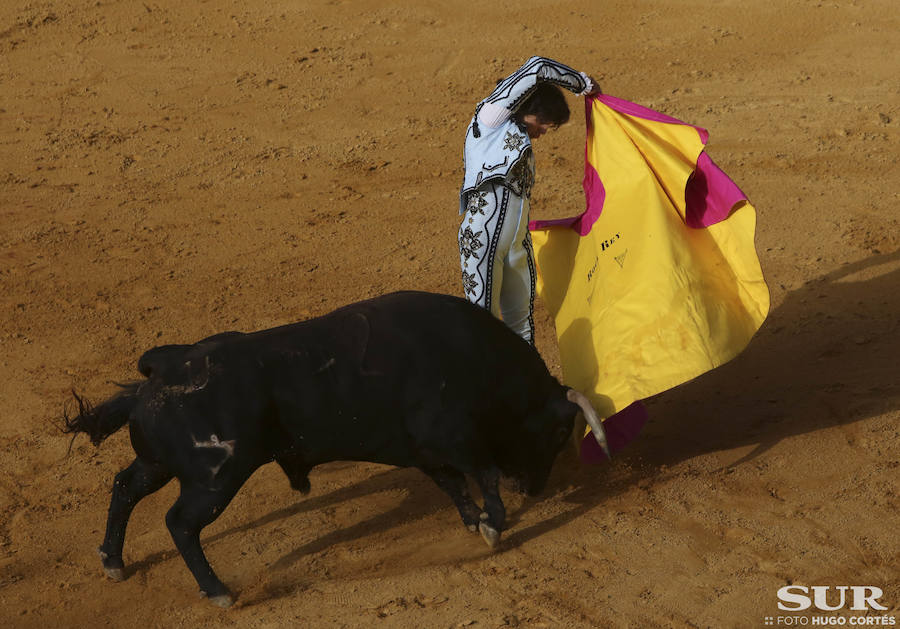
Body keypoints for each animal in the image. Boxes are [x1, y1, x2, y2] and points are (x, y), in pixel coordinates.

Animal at [61, 292, 604, 604]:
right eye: (560, 433)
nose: (534, 489)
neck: (478, 359)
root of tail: (162, 369)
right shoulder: (453, 438)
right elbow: (482, 476)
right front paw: (493, 525)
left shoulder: (426, 451)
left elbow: (454, 486)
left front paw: (474, 522)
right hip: (215, 478)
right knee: (180, 523)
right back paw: (219, 593)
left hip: (158, 463)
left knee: (125, 487)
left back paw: (113, 562)